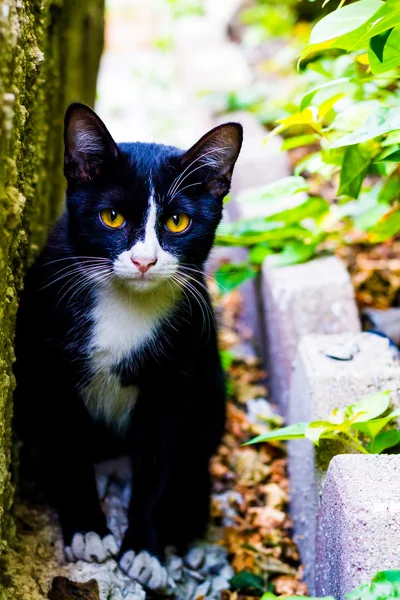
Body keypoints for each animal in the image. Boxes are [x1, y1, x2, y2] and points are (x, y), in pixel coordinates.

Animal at [13, 103, 241, 592]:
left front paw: (145, 549)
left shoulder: (173, 383)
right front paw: (87, 530)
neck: (124, 304)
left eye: (178, 222)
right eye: (112, 217)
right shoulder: (52, 373)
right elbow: (69, 450)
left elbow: (157, 464)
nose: (143, 260)